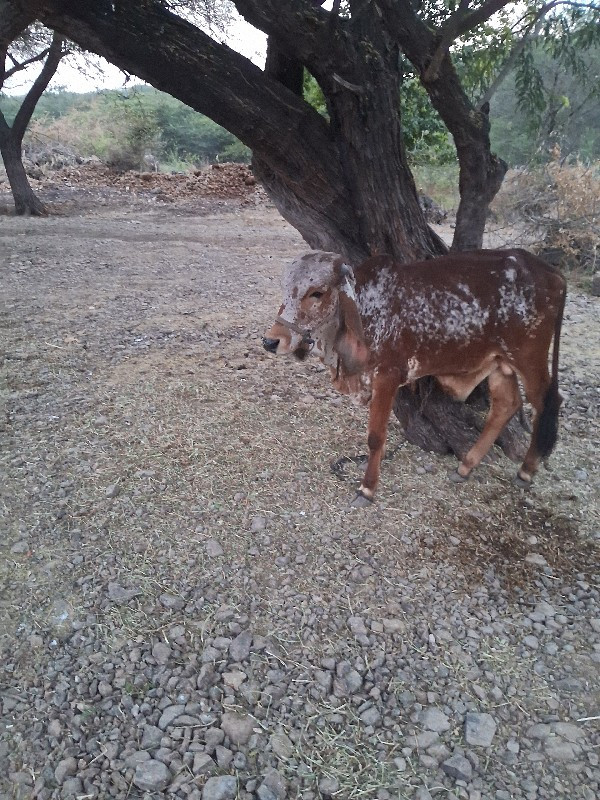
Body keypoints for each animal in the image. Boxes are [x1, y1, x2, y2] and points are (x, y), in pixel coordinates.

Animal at [262, 248, 568, 506]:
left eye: (317, 292)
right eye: (285, 290)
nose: (271, 341)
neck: (366, 308)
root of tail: (550, 272)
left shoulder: (387, 377)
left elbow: (375, 437)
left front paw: (367, 488)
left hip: (529, 358)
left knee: (547, 402)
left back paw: (526, 471)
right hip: (499, 363)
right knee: (506, 405)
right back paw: (465, 467)